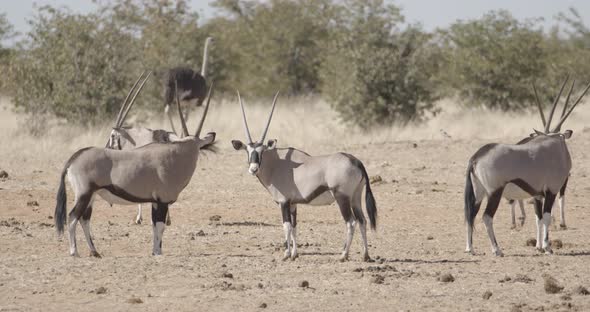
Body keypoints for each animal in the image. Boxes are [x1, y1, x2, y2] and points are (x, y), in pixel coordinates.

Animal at [55, 82, 217, 256]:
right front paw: (158, 253)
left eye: (198, 147)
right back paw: (74, 252)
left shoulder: (155, 202)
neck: (177, 156)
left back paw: (95, 251)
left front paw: (155, 251)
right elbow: (160, 226)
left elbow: (155, 226)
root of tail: (74, 158)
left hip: (91, 196)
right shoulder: (162, 201)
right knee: (72, 217)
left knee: (84, 219)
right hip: (84, 194)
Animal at [231, 91, 380, 262]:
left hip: (342, 197)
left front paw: (286, 254)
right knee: (362, 221)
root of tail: (356, 161)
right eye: (248, 151)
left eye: (261, 151)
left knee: (351, 222)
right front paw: (295, 254)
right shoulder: (293, 204)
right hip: (355, 197)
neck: (276, 164)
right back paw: (365, 255)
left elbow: (286, 226)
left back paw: (343, 255)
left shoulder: (283, 202)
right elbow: (295, 227)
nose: (253, 169)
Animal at [468, 77, 588, 256]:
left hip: (478, 193)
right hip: (494, 193)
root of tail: (477, 157)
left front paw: (538, 246)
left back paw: (470, 248)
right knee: (487, 217)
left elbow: (538, 218)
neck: (554, 145)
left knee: (471, 214)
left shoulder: (537, 194)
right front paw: (547, 247)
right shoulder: (551, 190)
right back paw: (497, 250)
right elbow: (546, 216)